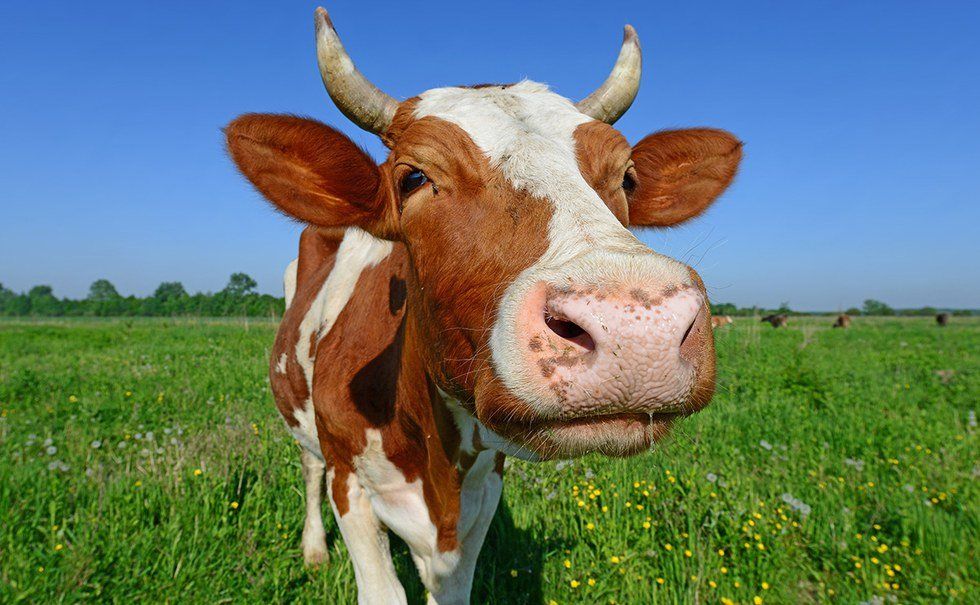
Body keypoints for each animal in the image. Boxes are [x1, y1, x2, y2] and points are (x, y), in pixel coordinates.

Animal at [225, 8, 741, 604]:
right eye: (414, 176)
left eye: (627, 177)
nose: (638, 324)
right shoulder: (349, 481)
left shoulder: (484, 490)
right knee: (308, 470)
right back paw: (312, 549)